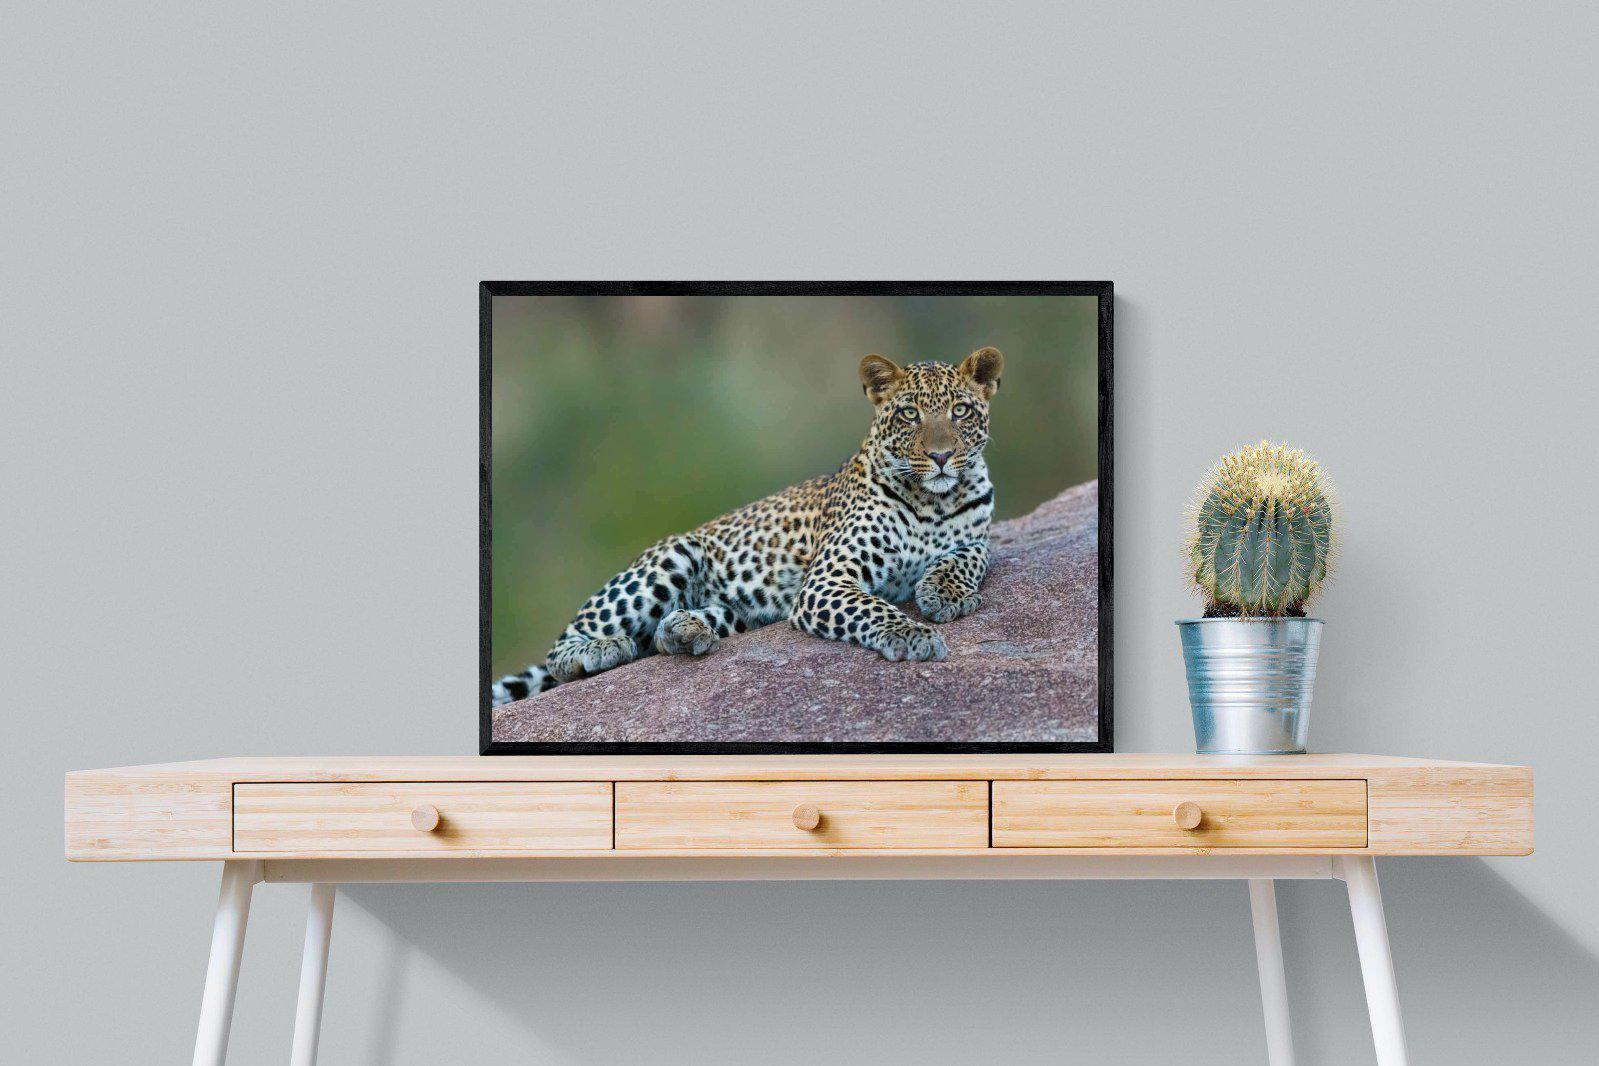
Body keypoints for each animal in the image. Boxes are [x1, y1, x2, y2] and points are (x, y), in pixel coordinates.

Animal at [490, 345, 1004, 707]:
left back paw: (685, 629)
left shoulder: (978, 537)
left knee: (661, 637)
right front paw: (913, 635)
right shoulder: (827, 580)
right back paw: (602, 649)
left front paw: (945, 593)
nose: (941, 456)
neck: (934, 500)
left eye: (960, 411)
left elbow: (968, 557)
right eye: (909, 413)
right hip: (670, 558)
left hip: (740, 611)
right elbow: (874, 608)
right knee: (565, 648)